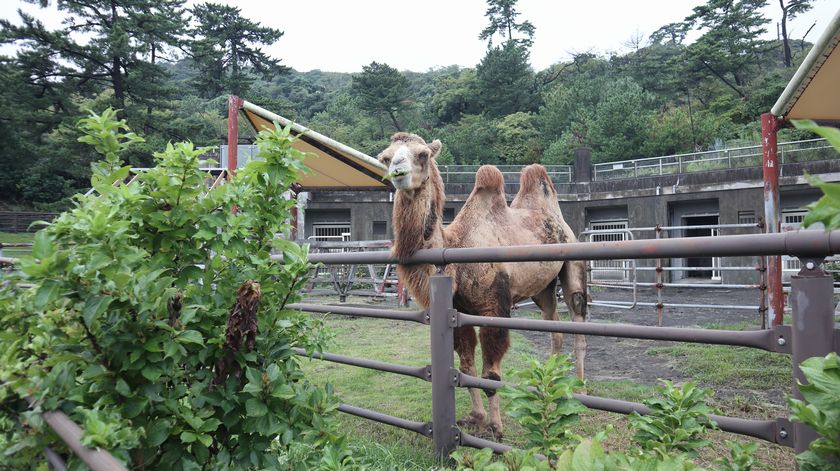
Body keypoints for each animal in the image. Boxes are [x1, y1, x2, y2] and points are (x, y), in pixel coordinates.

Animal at [378, 132, 588, 438]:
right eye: (386, 156)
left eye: (423, 154)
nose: (398, 171)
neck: (457, 249)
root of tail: (561, 223)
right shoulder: (457, 311)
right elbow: (466, 365)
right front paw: (476, 417)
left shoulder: (494, 307)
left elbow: (491, 375)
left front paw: (497, 428)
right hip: (543, 288)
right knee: (554, 326)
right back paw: (548, 381)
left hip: (573, 266)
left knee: (578, 318)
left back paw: (580, 389)